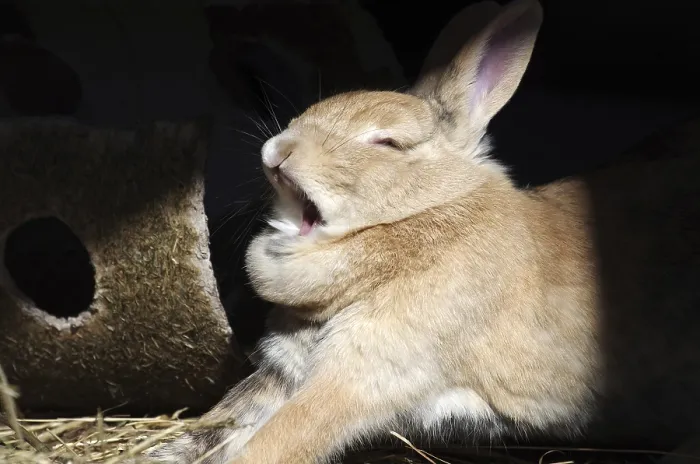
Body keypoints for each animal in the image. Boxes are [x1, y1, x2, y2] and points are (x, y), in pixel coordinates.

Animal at [142, 0, 700, 462]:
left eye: (387, 143)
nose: (277, 151)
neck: (413, 221)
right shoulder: (283, 372)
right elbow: (223, 421)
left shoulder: (359, 376)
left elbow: (281, 439)